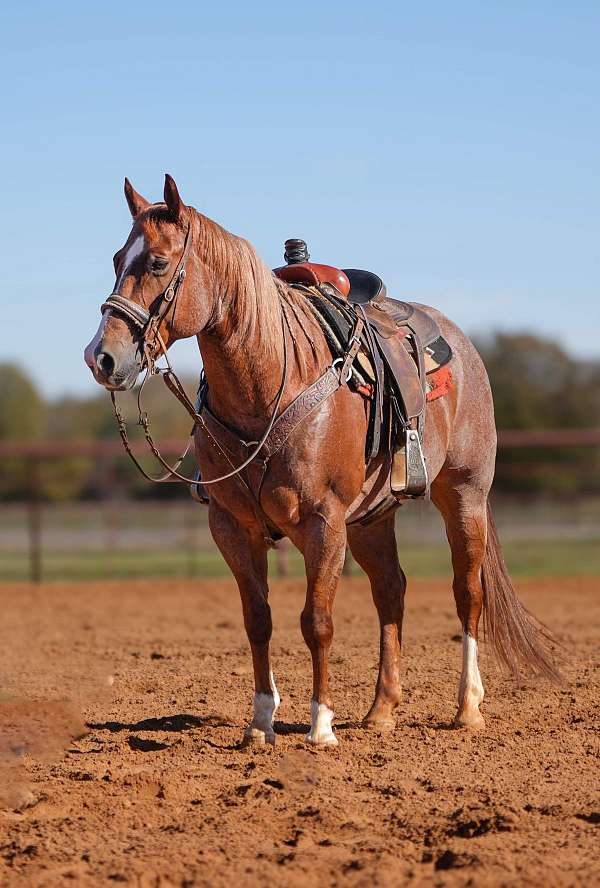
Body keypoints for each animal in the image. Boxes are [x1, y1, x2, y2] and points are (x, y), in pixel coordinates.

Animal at [83, 177, 556, 744]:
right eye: (116, 259)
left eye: (156, 262)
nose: (101, 356)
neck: (268, 387)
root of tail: (460, 345)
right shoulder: (232, 526)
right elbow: (258, 619)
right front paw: (261, 723)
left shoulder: (323, 521)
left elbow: (317, 621)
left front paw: (321, 724)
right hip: (373, 517)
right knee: (391, 590)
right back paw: (381, 710)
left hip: (464, 494)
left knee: (467, 591)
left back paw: (467, 707)